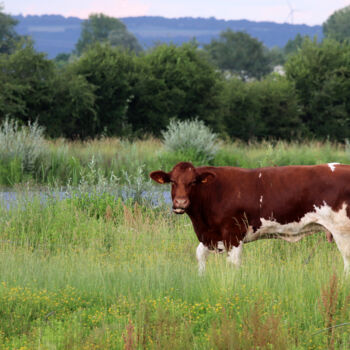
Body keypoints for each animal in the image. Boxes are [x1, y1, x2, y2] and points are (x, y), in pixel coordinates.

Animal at [150, 163, 350, 274]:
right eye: (172, 181)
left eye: (193, 182)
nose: (180, 202)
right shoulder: (211, 235)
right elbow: (200, 255)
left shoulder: (233, 234)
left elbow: (233, 263)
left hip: (342, 230)